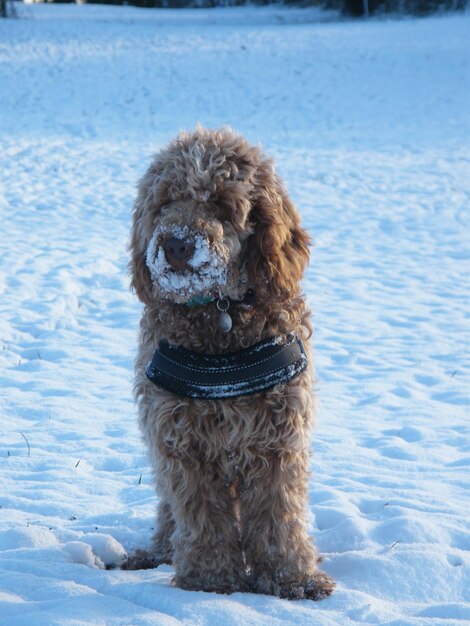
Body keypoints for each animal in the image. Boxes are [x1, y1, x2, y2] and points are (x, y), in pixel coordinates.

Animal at [121, 124, 334, 596]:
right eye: (165, 202)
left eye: (220, 203)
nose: (177, 245)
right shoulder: (182, 441)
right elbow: (202, 515)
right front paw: (210, 579)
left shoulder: (277, 438)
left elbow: (278, 514)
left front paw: (292, 578)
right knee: (171, 518)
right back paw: (156, 553)